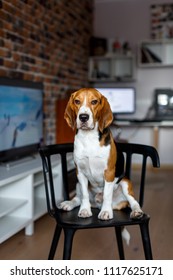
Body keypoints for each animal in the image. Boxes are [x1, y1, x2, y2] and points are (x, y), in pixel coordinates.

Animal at [58, 88, 143, 226]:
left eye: (94, 101)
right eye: (77, 101)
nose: (83, 117)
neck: (89, 137)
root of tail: (97, 204)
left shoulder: (109, 172)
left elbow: (107, 195)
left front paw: (106, 212)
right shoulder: (80, 172)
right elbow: (85, 195)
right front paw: (85, 210)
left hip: (125, 183)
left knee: (133, 202)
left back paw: (136, 212)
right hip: (77, 183)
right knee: (78, 198)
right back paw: (69, 203)